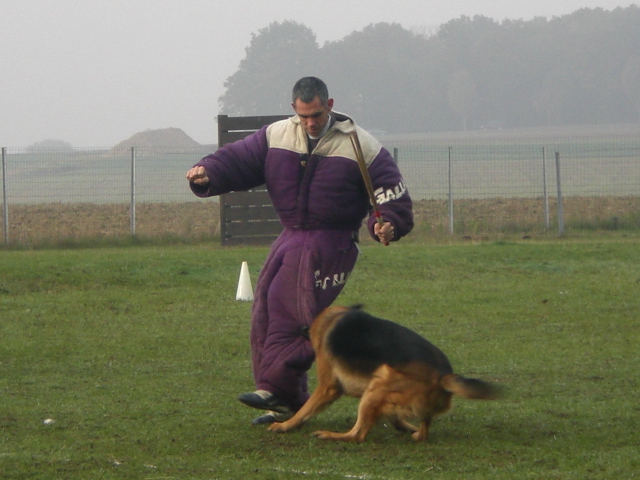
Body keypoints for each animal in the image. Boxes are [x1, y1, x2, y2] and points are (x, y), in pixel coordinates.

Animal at [268, 306, 498, 444]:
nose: (301, 328)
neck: (333, 319)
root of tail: (443, 376)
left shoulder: (328, 387)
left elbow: (305, 409)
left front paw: (286, 425)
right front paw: (403, 426)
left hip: (378, 384)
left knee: (357, 435)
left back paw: (331, 435)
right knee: (423, 431)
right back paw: (415, 431)